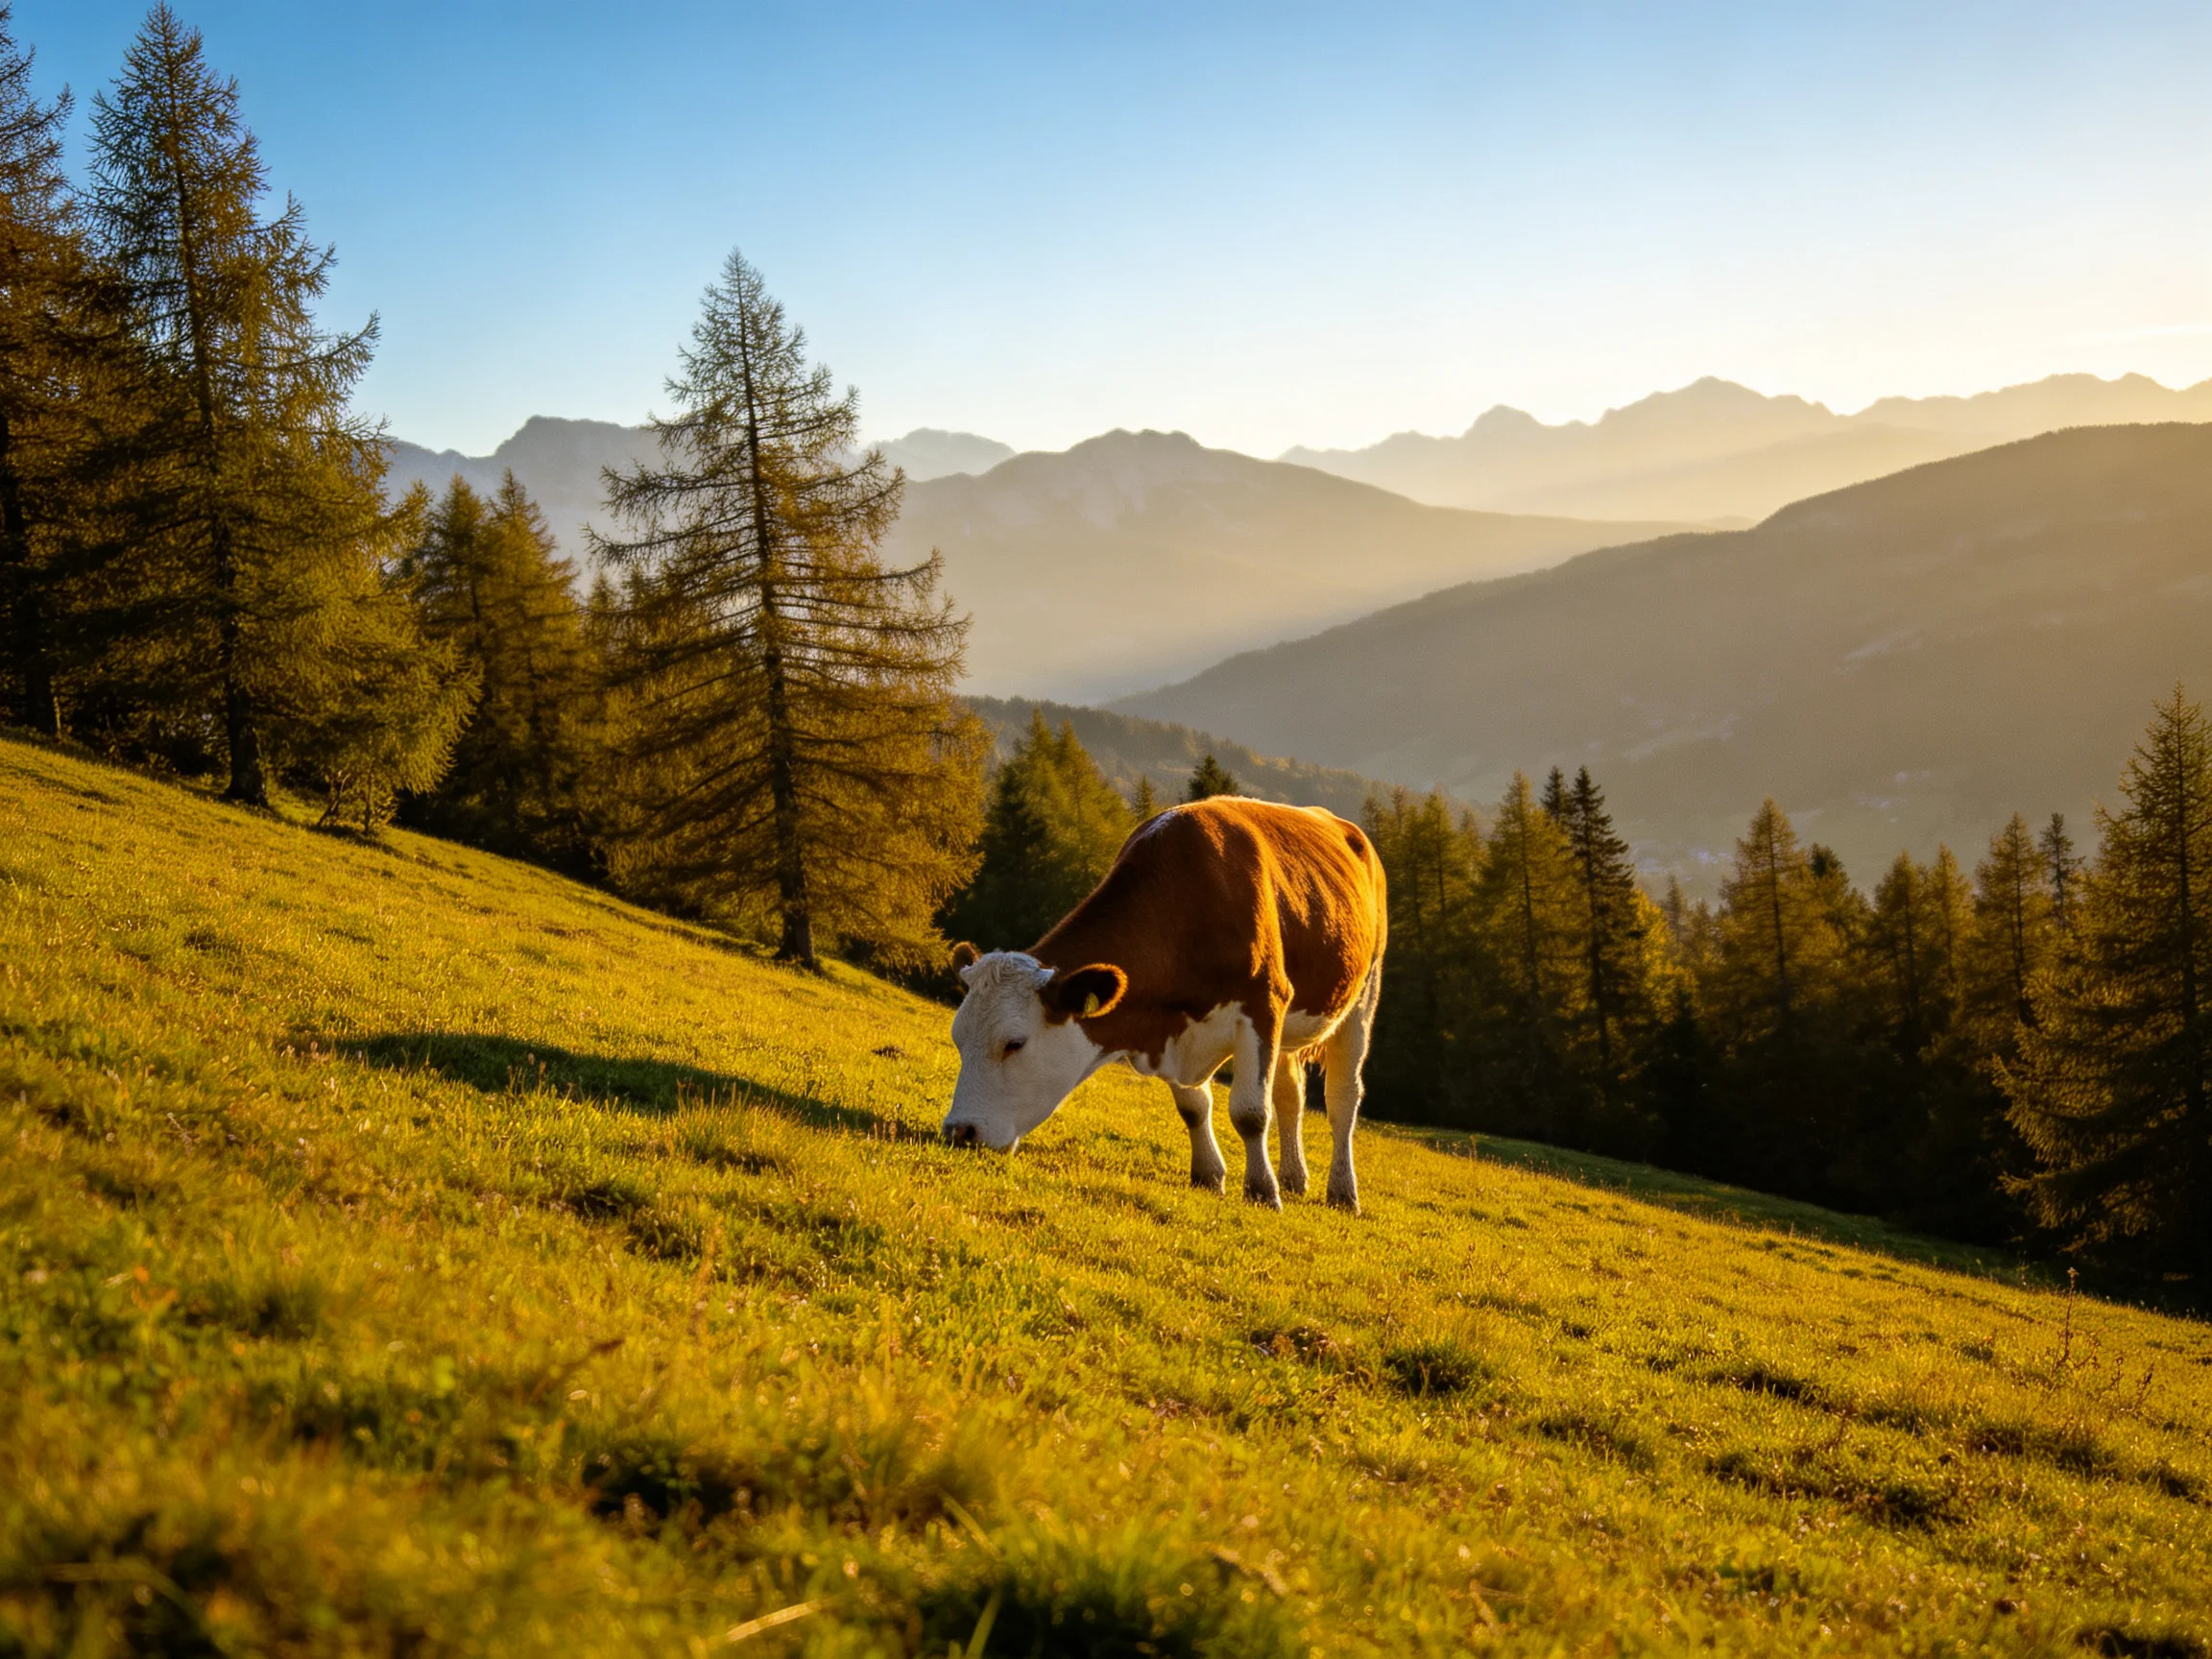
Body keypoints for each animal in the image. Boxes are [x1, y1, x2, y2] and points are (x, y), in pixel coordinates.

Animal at [941, 796, 1387, 1213]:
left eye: (1014, 1044)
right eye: (958, 1039)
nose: (959, 1132)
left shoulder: (1263, 1005)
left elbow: (1250, 1112)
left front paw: (1262, 1191)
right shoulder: (1170, 1021)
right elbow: (1193, 1106)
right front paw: (1209, 1175)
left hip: (1362, 998)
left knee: (1342, 1099)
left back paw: (1342, 1192)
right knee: (1290, 1095)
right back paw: (1294, 1177)